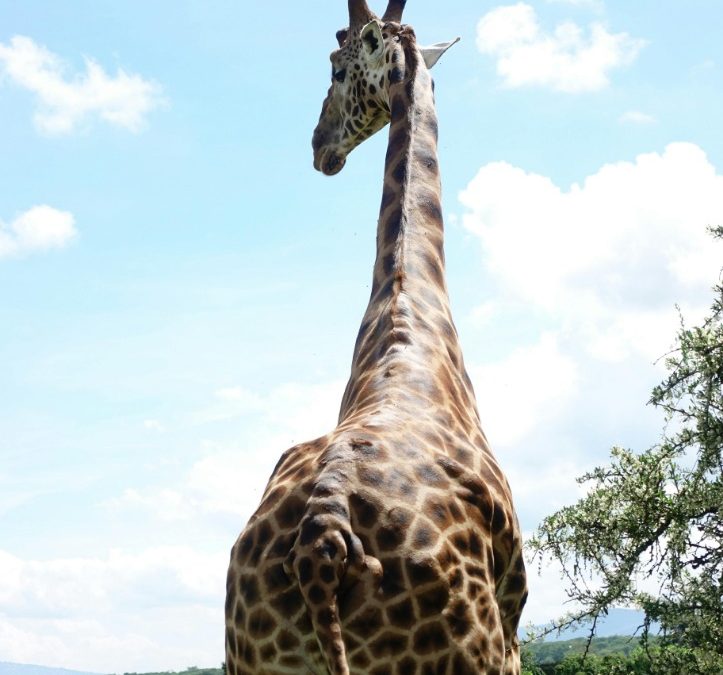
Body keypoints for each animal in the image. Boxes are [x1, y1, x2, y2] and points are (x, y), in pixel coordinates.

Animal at [225, 1, 527, 673]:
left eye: (338, 71)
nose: (319, 146)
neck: (406, 310)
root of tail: (322, 540)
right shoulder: (515, 622)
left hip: (249, 654)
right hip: (466, 653)